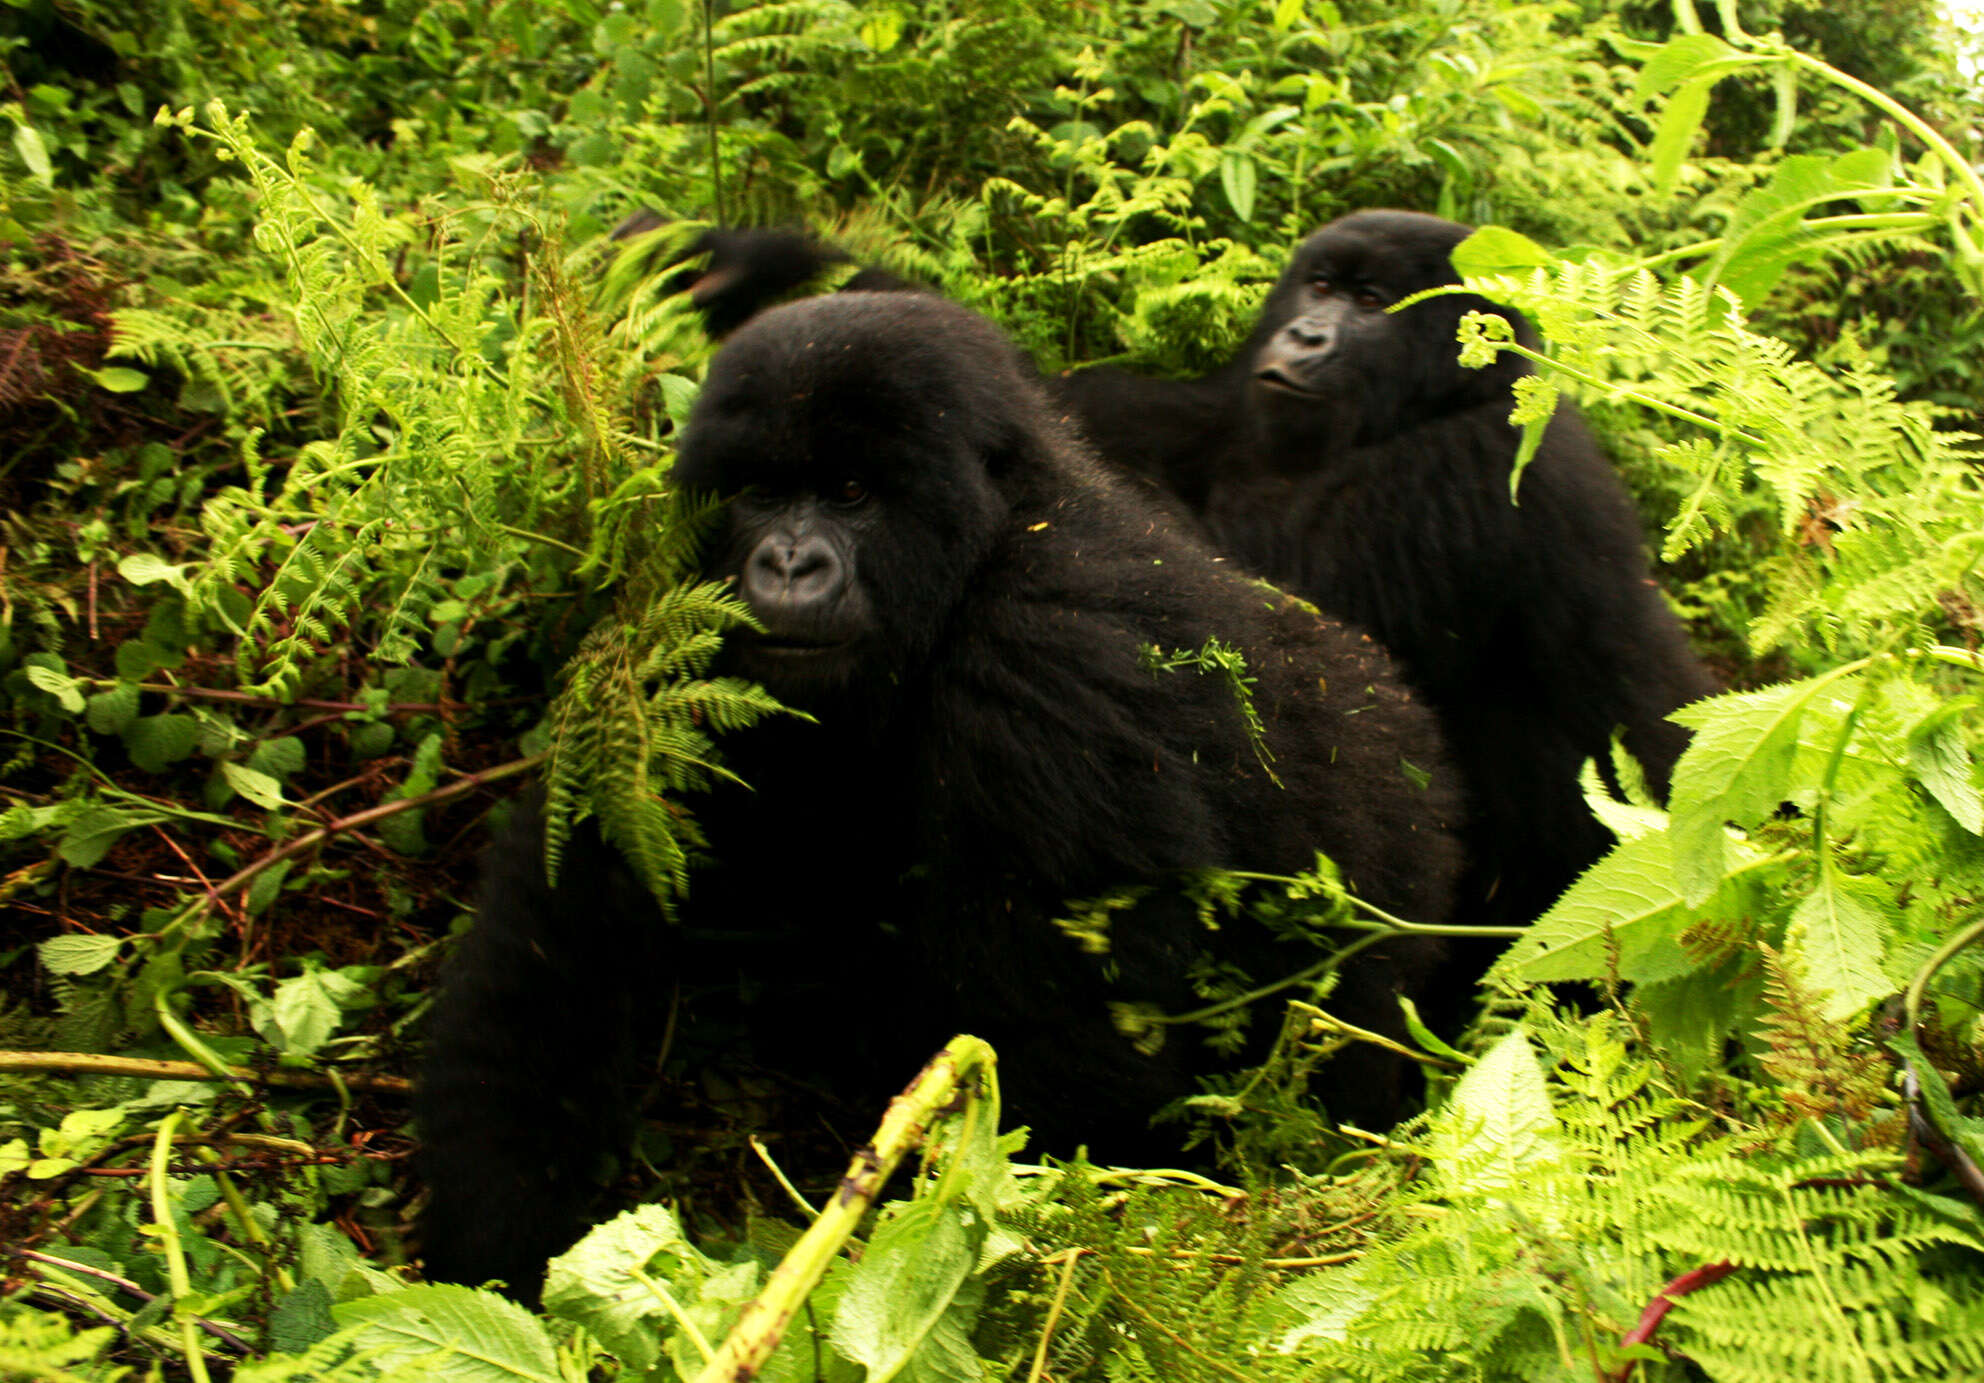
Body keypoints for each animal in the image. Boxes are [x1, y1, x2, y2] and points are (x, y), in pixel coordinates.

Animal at [418, 291, 1468, 1293]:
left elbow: (1074, 1074)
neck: (992, 539)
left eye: (850, 493)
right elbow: (576, 904)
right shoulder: (692, 630)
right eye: (760, 494)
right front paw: (495, 1236)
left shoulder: (1047, 667)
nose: (788, 564)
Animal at [658, 213, 1714, 928]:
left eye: (1372, 306)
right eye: (1319, 288)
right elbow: (1054, 411)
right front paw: (742, 261)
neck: (1457, 390)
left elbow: (1275, 609)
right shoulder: (1208, 413)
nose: (1305, 338)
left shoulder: (1469, 472)